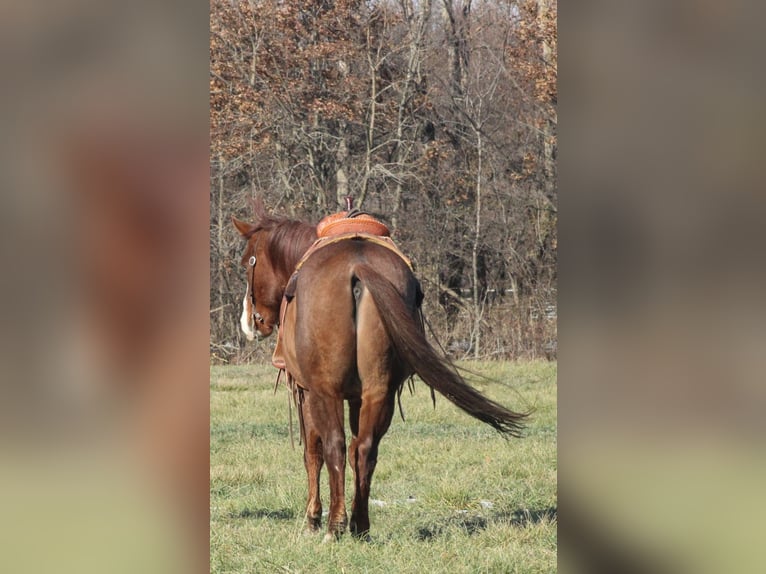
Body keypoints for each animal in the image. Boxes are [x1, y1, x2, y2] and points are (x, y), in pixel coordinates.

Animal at [233, 204, 527, 541]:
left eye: (247, 262)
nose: (250, 322)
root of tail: (358, 266)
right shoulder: (357, 397)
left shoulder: (307, 392)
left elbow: (313, 453)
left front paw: (312, 519)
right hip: (379, 390)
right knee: (365, 448)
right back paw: (360, 525)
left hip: (326, 391)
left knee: (335, 447)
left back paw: (335, 526)